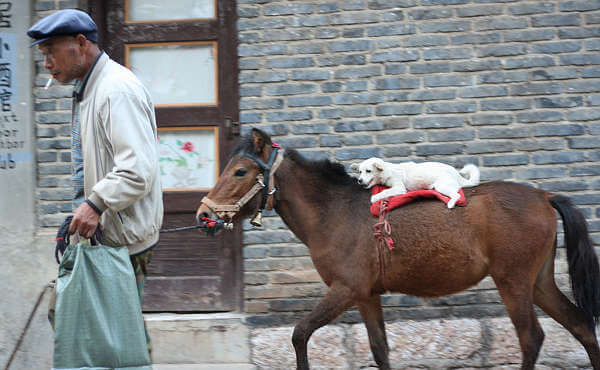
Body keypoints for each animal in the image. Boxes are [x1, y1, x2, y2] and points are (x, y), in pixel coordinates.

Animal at [350, 158, 480, 208]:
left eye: (368, 171)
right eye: (360, 172)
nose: (359, 180)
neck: (388, 170)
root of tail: (455, 173)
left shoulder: (399, 188)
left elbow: (385, 192)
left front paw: (375, 197)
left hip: (441, 186)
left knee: (457, 195)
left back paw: (451, 203)